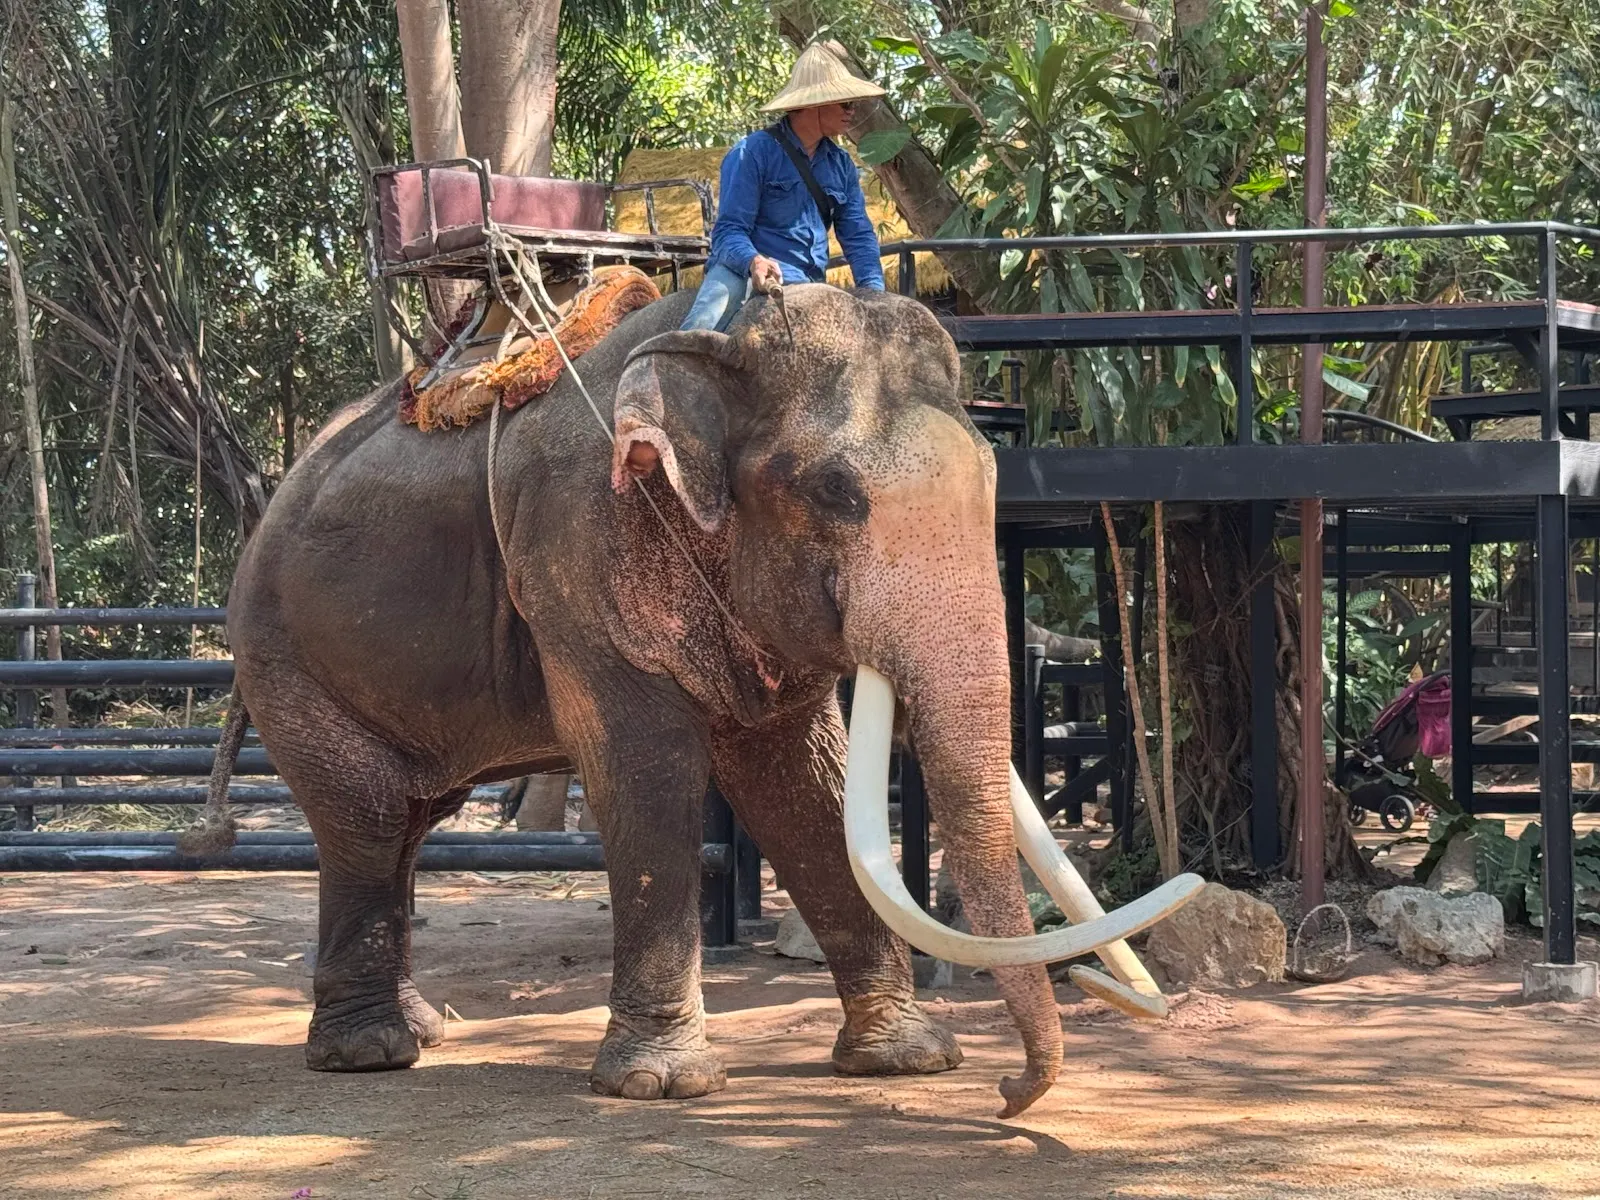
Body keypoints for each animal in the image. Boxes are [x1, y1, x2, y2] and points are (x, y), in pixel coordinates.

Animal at [186, 283, 1191, 1118]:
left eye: (993, 481)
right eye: (836, 492)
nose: (1008, 1093)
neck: (721, 339)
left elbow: (804, 784)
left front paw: (905, 1059)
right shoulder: (577, 553)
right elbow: (646, 772)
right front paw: (661, 1085)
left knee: (406, 821)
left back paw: (423, 1029)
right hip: (284, 656)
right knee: (364, 818)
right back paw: (372, 1052)